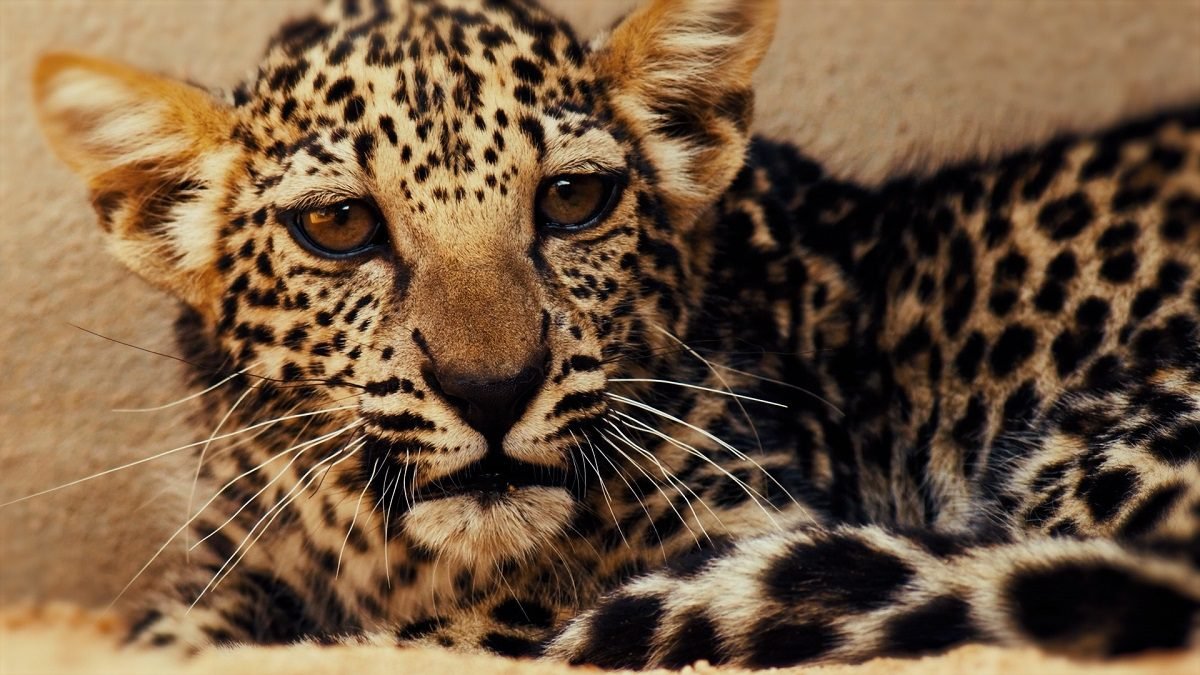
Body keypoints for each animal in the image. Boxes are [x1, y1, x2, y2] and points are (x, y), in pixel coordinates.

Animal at [29, 0, 1200, 668]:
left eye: (574, 201)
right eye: (339, 225)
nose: (492, 389)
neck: (389, 552)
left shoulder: (747, 520)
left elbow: (463, 629)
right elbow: (188, 618)